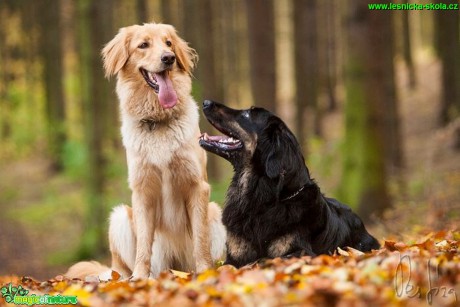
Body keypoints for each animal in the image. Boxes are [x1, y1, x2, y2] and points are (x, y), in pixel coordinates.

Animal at [66, 22, 226, 280]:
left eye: (169, 43)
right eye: (143, 45)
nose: (169, 58)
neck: (157, 120)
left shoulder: (197, 186)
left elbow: (200, 240)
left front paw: (204, 273)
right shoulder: (142, 190)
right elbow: (143, 244)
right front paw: (140, 277)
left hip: (216, 213)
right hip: (120, 217)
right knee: (120, 269)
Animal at [199, 100, 380, 268]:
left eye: (247, 114)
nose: (206, 102)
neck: (262, 202)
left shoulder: (301, 252)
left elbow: (267, 259)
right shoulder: (233, 257)